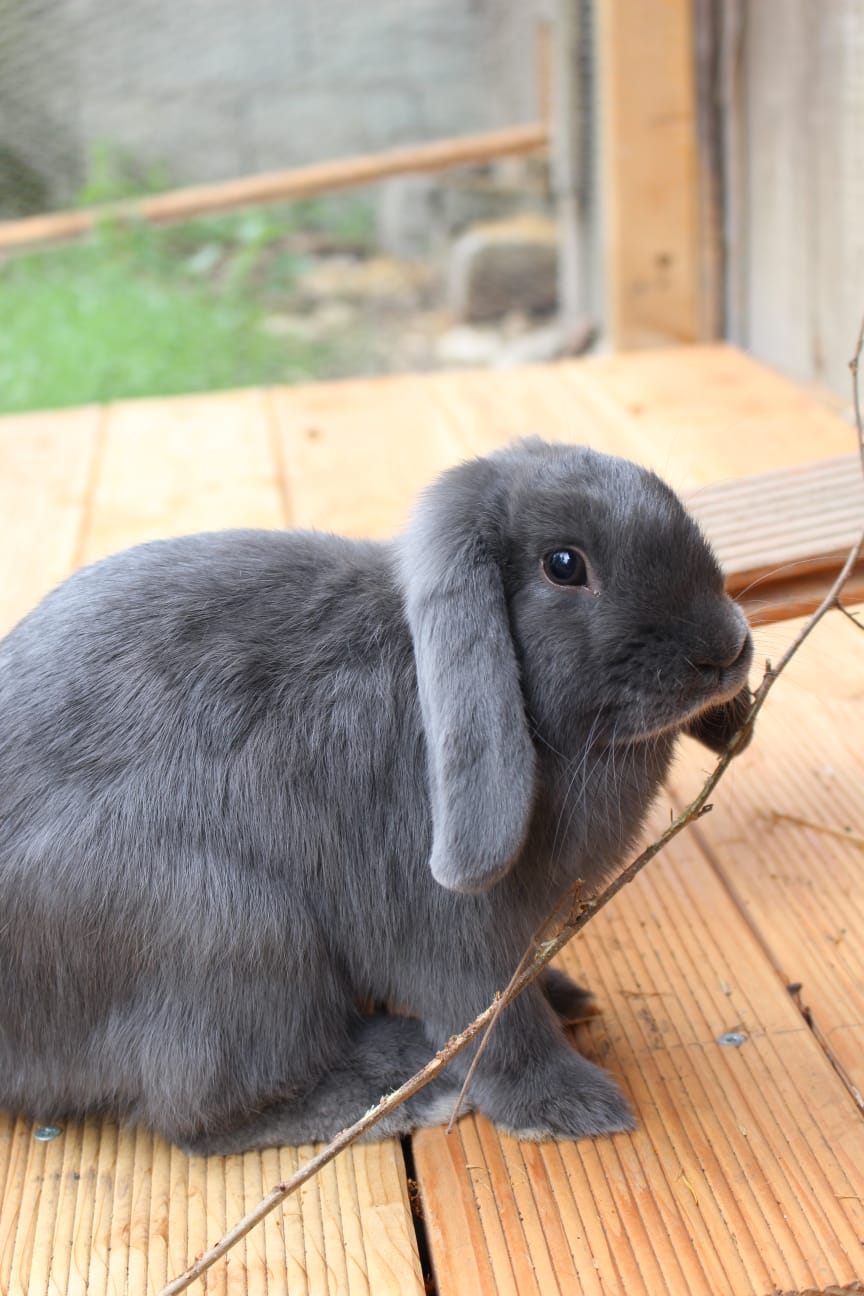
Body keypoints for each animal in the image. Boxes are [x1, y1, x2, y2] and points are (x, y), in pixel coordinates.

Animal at [0, 438, 753, 1154]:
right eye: (564, 565)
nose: (724, 650)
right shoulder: (451, 938)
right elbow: (498, 1025)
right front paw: (570, 1108)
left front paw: (567, 996)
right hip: (234, 936)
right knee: (206, 1115)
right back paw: (407, 1082)